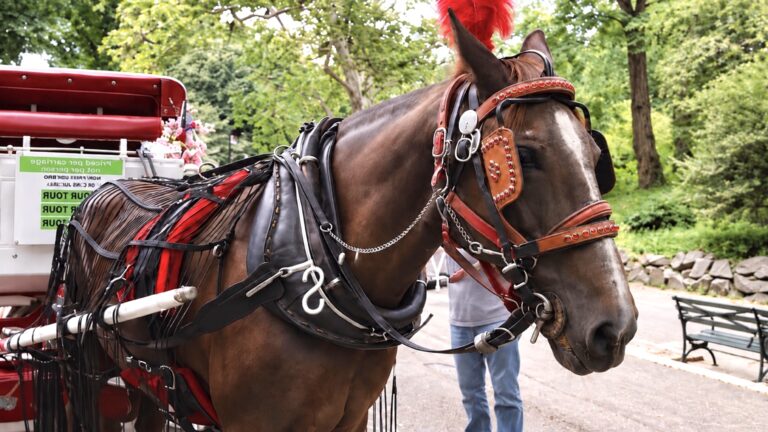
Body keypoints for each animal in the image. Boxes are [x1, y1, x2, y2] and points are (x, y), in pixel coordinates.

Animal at [57, 14, 637, 432]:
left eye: (595, 156)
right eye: (525, 157)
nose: (616, 326)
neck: (311, 262)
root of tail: (97, 194)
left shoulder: (349, 419)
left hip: (143, 378)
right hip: (92, 365)